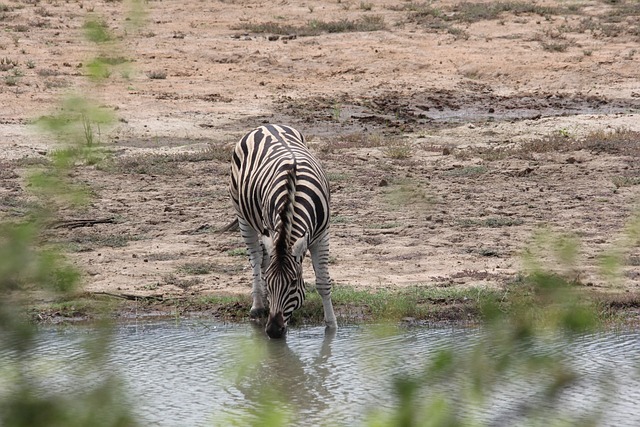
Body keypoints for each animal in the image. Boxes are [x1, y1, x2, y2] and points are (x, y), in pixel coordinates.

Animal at [231, 124, 340, 342]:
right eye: (270, 282)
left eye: (293, 283)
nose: (273, 331)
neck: (294, 194)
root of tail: (266, 126)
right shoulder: (272, 229)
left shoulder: (322, 235)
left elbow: (323, 283)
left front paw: (332, 327)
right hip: (242, 215)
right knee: (255, 257)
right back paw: (258, 305)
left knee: (264, 258)